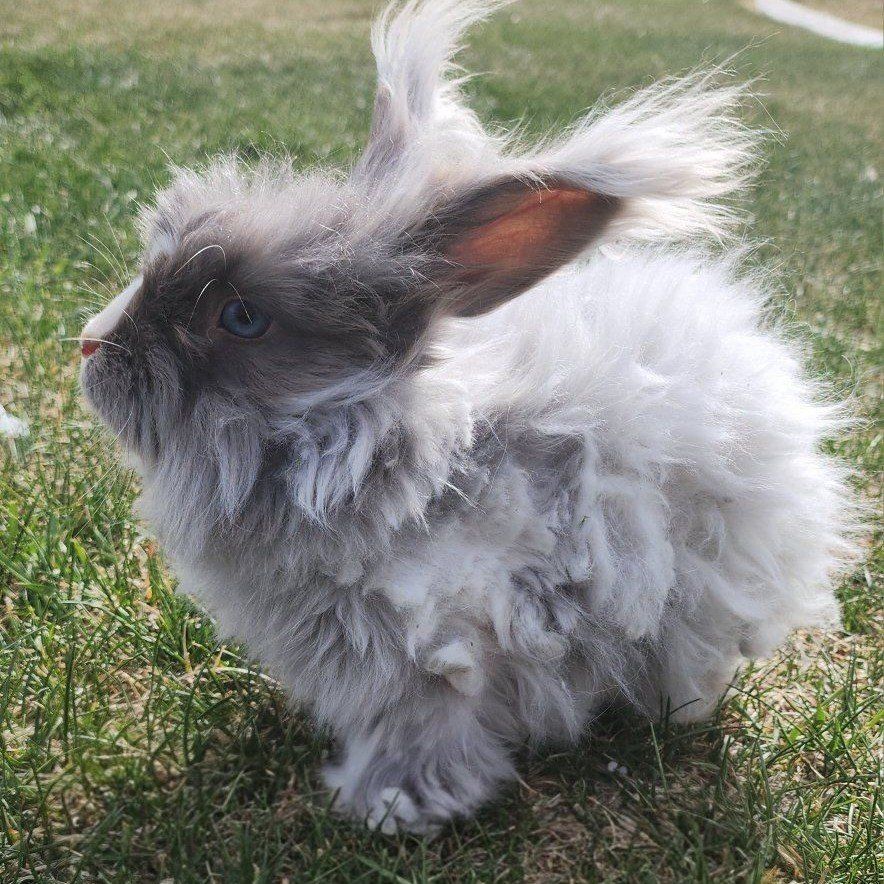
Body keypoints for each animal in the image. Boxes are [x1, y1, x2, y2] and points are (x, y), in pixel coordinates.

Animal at [79, 0, 856, 835]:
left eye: (242, 316)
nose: (90, 345)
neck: (361, 440)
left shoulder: (429, 648)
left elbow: (424, 730)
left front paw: (390, 807)